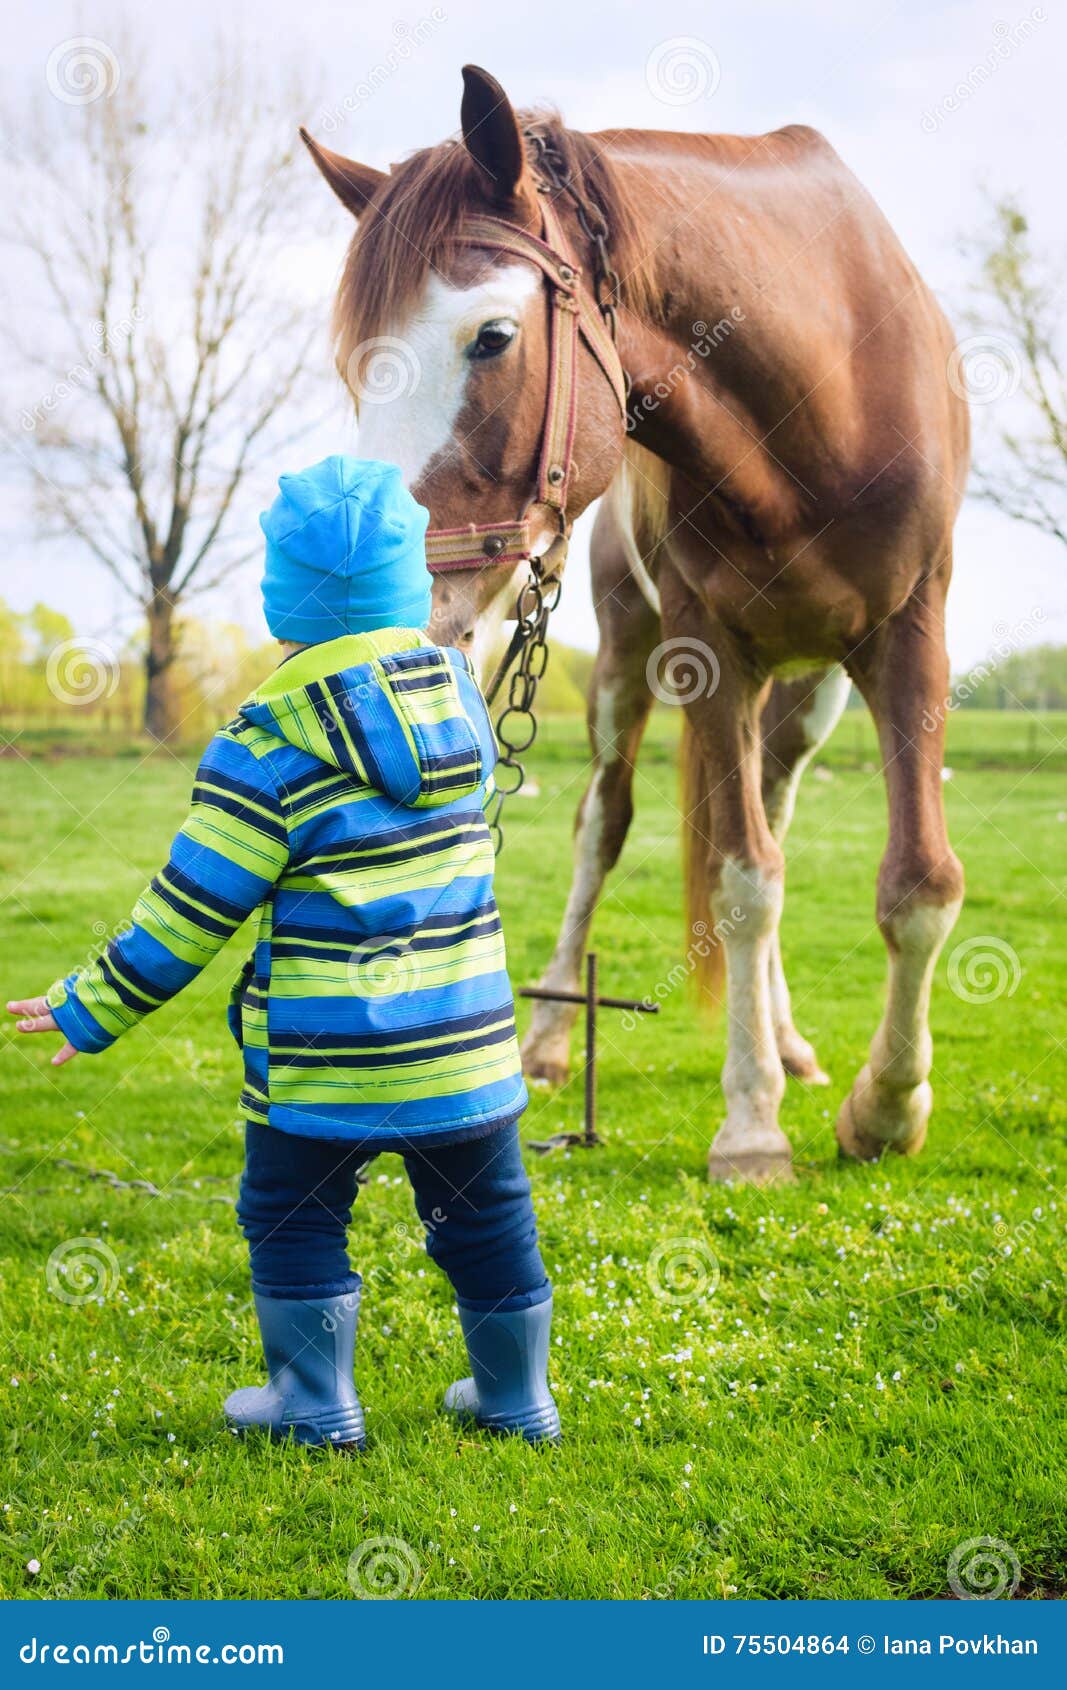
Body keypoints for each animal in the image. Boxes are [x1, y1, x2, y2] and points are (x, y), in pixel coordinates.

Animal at [300, 64, 969, 1183]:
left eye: (491, 336)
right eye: (360, 370)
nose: (381, 604)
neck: (823, 389)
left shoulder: (908, 632)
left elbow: (916, 879)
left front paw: (886, 1108)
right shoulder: (709, 654)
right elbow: (742, 881)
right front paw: (751, 1124)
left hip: (810, 691)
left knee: (773, 807)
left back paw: (789, 1041)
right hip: (624, 664)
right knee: (599, 826)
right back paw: (552, 1037)